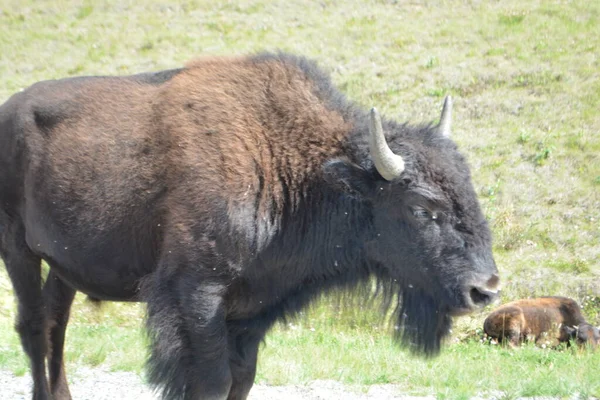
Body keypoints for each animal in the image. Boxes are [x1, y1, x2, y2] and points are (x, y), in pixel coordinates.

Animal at [0, 53, 500, 400]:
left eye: (469, 188)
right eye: (421, 207)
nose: (485, 289)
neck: (291, 166)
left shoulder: (252, 309)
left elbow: (242, 378)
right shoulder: (197, 294)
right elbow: (213, 380)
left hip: (62, 265)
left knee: (56, 325)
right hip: (17, 249)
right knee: (33, 326)